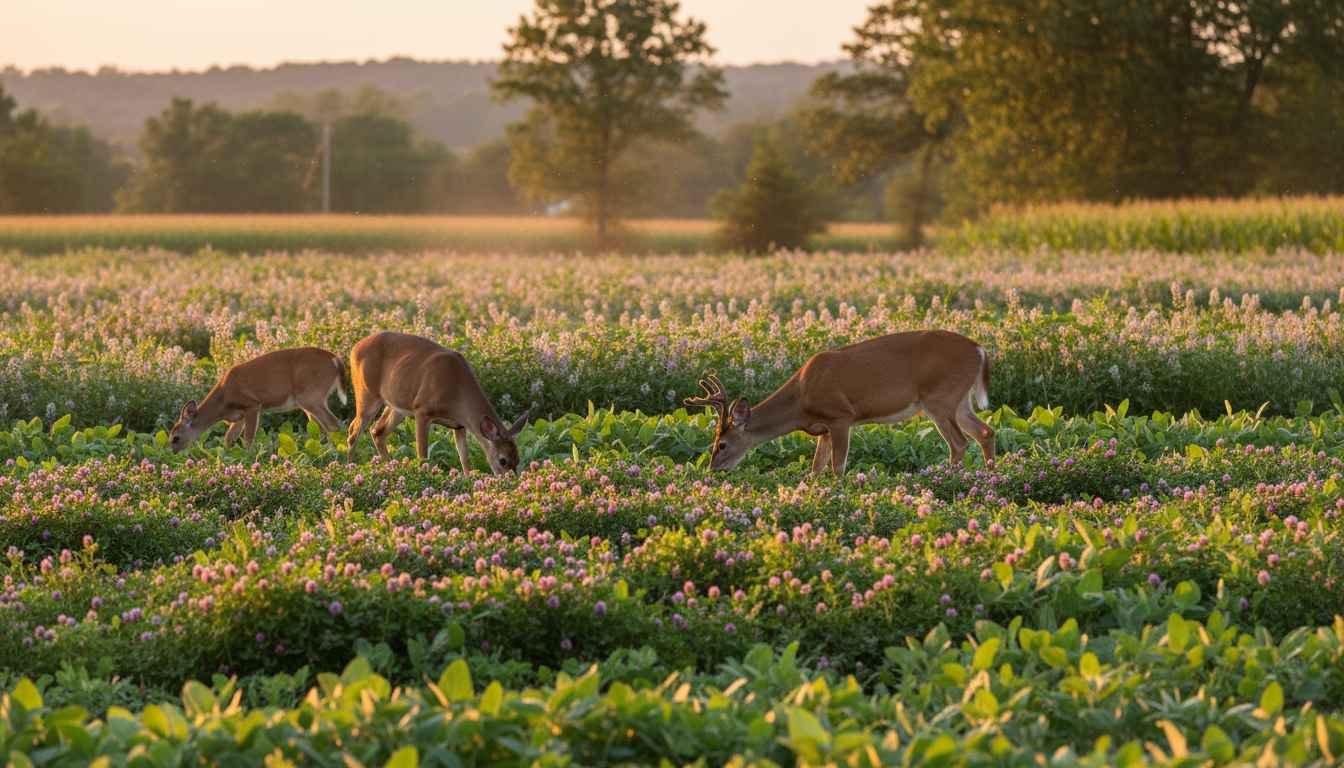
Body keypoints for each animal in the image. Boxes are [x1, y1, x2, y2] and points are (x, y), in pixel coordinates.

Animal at [169, 347, 347, 452]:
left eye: (176, 437)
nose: (173, 453)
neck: (223, 400)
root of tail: (336, 359)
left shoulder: (253, 405)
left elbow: (248, 439)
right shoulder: (238, 416)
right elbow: (228, 438)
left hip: (311, 396)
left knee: (333, 423)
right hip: (310, 401)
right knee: (320, 428)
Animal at [346, 331, 530, 475]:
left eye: (518, 459)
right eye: (503, 460)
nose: (510, 482)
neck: (457, 392)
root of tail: (354, 349)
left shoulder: (459, 425)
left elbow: (465, 459)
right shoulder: (422, 410)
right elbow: (422, 455)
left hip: (397, 406)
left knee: (378, 431)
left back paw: (390, 467)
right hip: (367, 394)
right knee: (353, 431)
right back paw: (350, 467)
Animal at [685, 330, 995, 475]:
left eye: (721, 444)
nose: (713, 470)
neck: (801, 400)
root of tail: (979, 350)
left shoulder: (841, 416)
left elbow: (837, 467)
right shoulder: (822, 428)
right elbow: (815, 467)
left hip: (939, 399)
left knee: (959, 442)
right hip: (959, 401)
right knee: (985, 432)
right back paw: (990, 477)